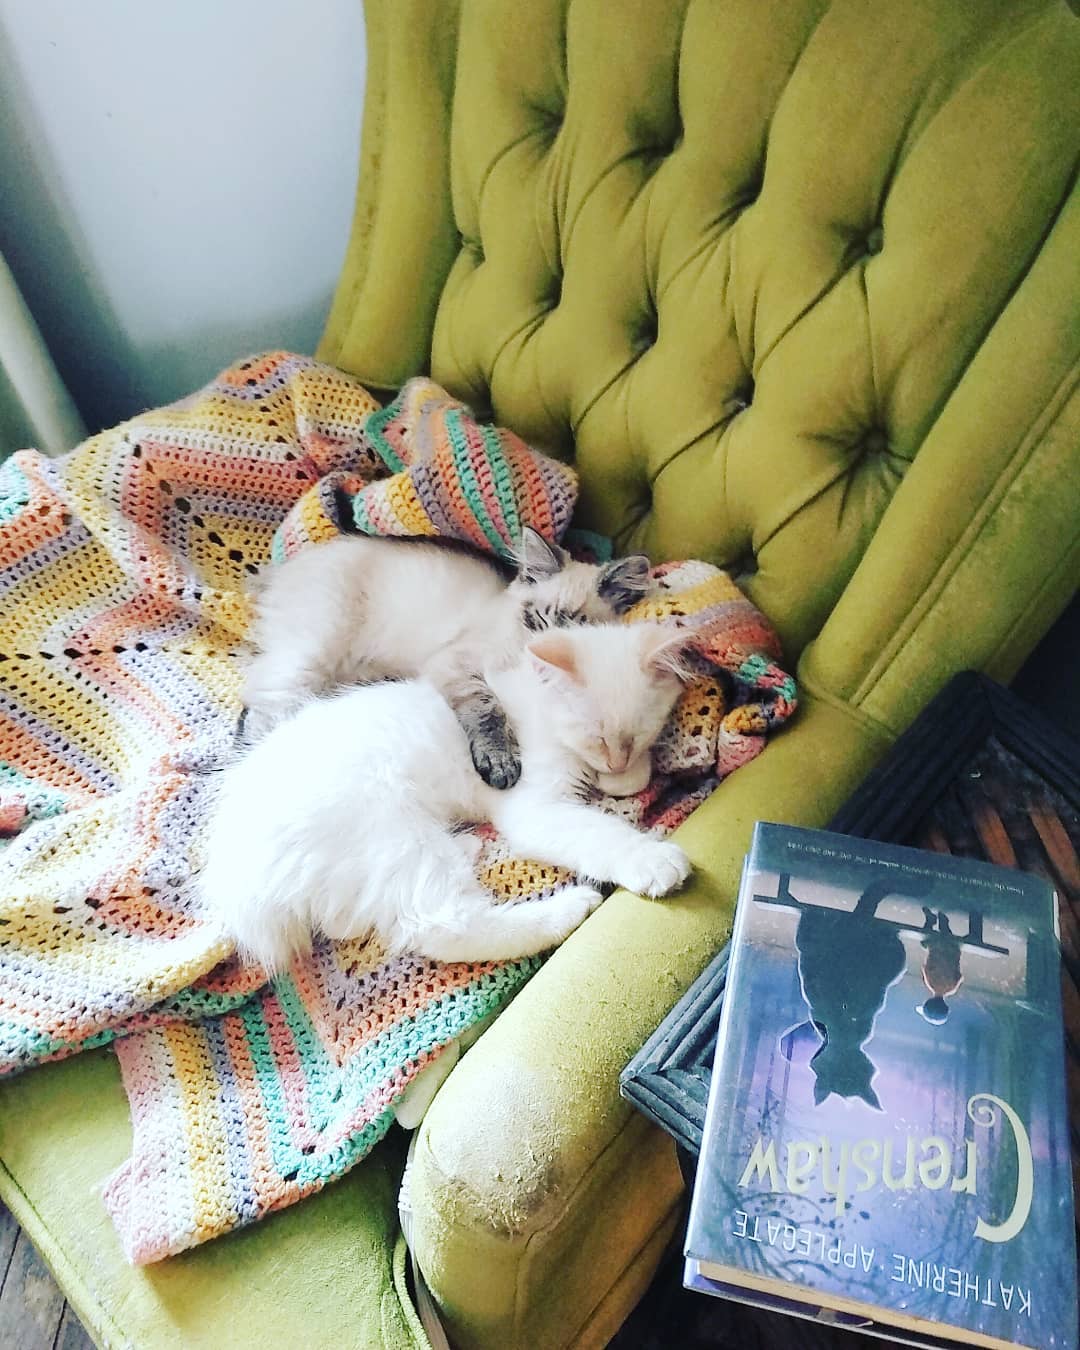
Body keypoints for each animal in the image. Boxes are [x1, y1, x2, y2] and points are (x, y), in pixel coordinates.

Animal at [201, 621, 691, 972]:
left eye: (640, 733)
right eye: (596, 735)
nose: (616, 760)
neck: (533, 706)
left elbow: (631, 779)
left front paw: (626, 776)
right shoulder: (534, 804)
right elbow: (598, 833)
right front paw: (651, 859)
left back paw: (467, 845)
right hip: (395, 837)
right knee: (442, 925)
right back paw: (566, 910)